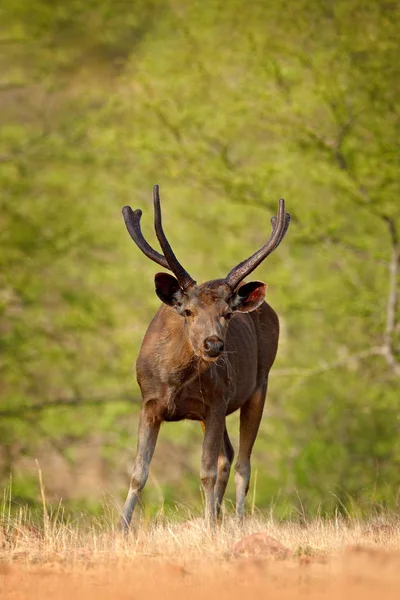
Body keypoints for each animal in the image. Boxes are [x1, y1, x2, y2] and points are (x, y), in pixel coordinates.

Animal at [119, 185, 290, 532]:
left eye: (227, 313)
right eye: (188, 311)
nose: (213, 344)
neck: (174, 381)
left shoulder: (216, 401)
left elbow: (207, 471)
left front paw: (210, 526)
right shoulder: (150, 401)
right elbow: (139, 471)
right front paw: (121, 528)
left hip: (258, 385)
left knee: (241, 462)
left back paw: (235, 522)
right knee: (229, 455)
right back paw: (221, 517)